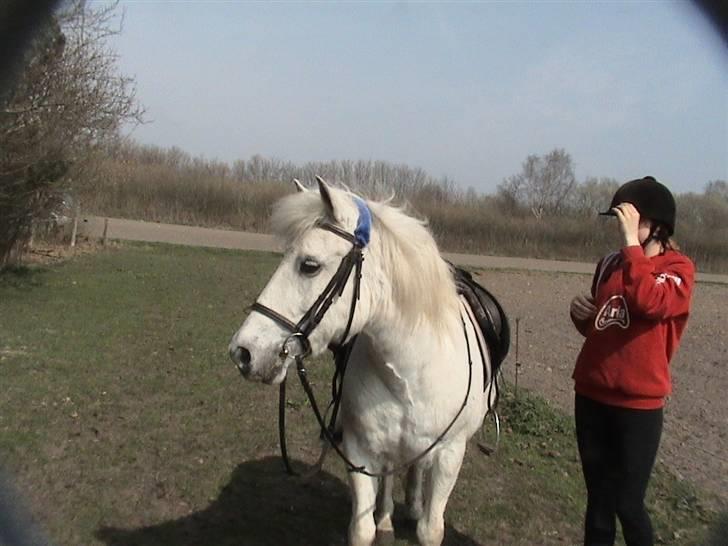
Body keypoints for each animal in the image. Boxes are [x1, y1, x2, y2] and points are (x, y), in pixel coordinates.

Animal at [230, 178, 498, 544]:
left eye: (309, 265)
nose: (243, 352)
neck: (410, 373)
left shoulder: (449, 455)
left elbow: (430, 528)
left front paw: (418, 512)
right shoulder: (360, 452)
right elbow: (362, 527)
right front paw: (380, 522)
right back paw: (387, 516)